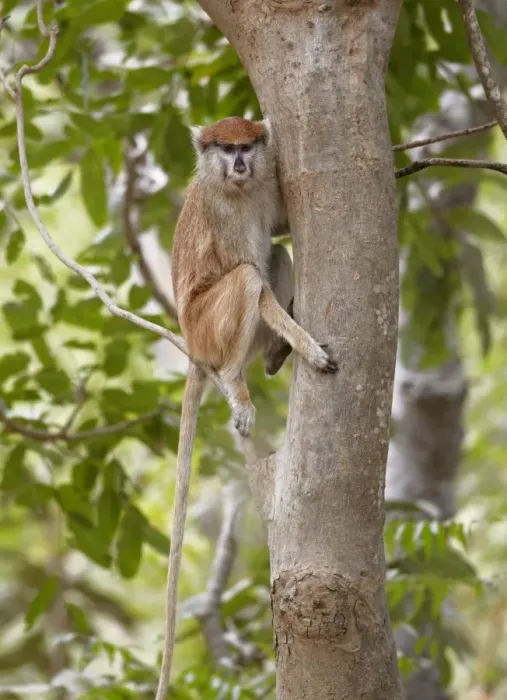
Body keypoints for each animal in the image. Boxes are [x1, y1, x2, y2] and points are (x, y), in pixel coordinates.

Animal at [155, 117, 337, 699]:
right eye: (225, 148)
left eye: (247, 146)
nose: (239, 164)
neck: (235, 189)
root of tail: (193, 346)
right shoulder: (224, 215)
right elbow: (253, 281)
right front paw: (306, 345)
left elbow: (276, 233)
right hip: (209, 323)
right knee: (249, 278)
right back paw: (240, 379)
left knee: (274, 258)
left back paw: (273, 357)